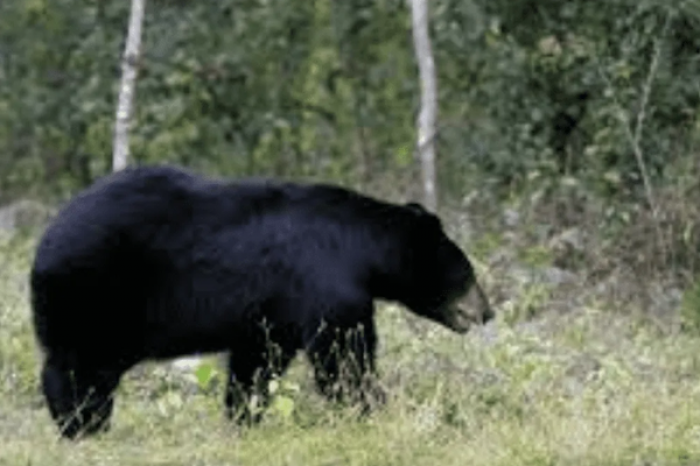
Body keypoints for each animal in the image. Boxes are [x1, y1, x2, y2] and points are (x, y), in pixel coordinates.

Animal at [30, 165, 494, 440]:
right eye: (468, 274)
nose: (487, 312)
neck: (362, 249)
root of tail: (48, 236)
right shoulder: (325, 281)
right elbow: (343, 354)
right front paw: (373, 408)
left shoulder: (276, 310)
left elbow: (258, 361)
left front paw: (243, 417)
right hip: (96, 292)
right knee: (77, 366)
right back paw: (79, 423)